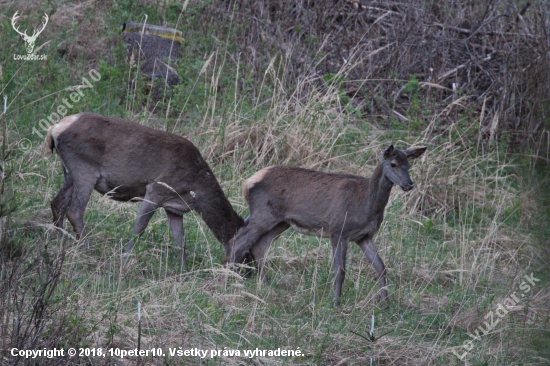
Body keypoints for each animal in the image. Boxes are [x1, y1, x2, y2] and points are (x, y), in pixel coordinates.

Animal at [46, 112, 245, 268]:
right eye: (248, 249)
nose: (248, 271)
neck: (197, 188)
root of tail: (54, 129)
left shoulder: (174, 207)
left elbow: (180, 240)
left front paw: (184, 270)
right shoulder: (155, 190)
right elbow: (139, 228)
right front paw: (125, 259)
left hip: (69, 173)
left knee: (57, 203)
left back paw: (60, 240)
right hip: (84, 168)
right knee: (75, 211)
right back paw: (87, 247)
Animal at [227, 144, 426, 308]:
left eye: (408, 165)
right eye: (393, 164)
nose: (409, 184)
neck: (366, 204)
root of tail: (247, 183)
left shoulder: (364, 236)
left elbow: (381, 266)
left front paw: (387, 305)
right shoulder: (339, 230)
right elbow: (340, 270)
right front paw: (336, 303)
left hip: (281, 221)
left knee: (258, 245)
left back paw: (265, 285)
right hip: (264, 213)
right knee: (238, 241)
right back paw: (227, 279)